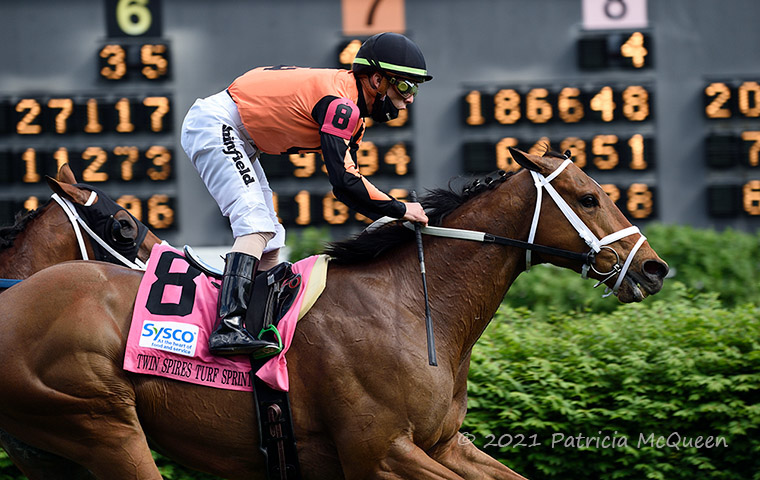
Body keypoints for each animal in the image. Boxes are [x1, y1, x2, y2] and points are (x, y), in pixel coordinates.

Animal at [0, 148, 668, 478]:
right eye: (589, 198)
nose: (655, 267)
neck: (411, 304)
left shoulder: (443, 443)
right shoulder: (377, 452)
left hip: (54, 454)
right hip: (102, 426)